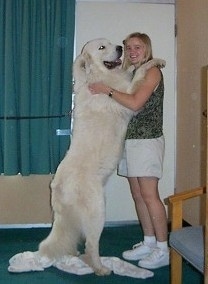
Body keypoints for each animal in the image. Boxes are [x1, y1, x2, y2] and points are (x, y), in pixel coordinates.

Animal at [37, 37, 166, 276]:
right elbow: (140, 73)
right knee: (91, 245)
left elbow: (132, 71)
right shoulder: (130, 98)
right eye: (101, 47)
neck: (97, 76)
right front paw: (153, 62)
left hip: (69, 218)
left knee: (71, 236)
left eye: (112, 43)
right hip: (98, 211)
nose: (121, 48)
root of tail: (57, 185)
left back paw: (74, 255)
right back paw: (100, 268)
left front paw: (137, 64)